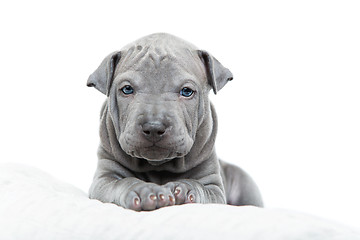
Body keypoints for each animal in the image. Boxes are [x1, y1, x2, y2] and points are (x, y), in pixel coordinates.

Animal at [86, 32, 262, 210]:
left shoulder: (214, 188)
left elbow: (200, 187)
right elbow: (122, 183)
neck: (158, 165)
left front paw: (184, 188)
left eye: (187, 91)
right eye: (127, 89)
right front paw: (144, 191)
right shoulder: (103, 179)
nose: (154, 127)